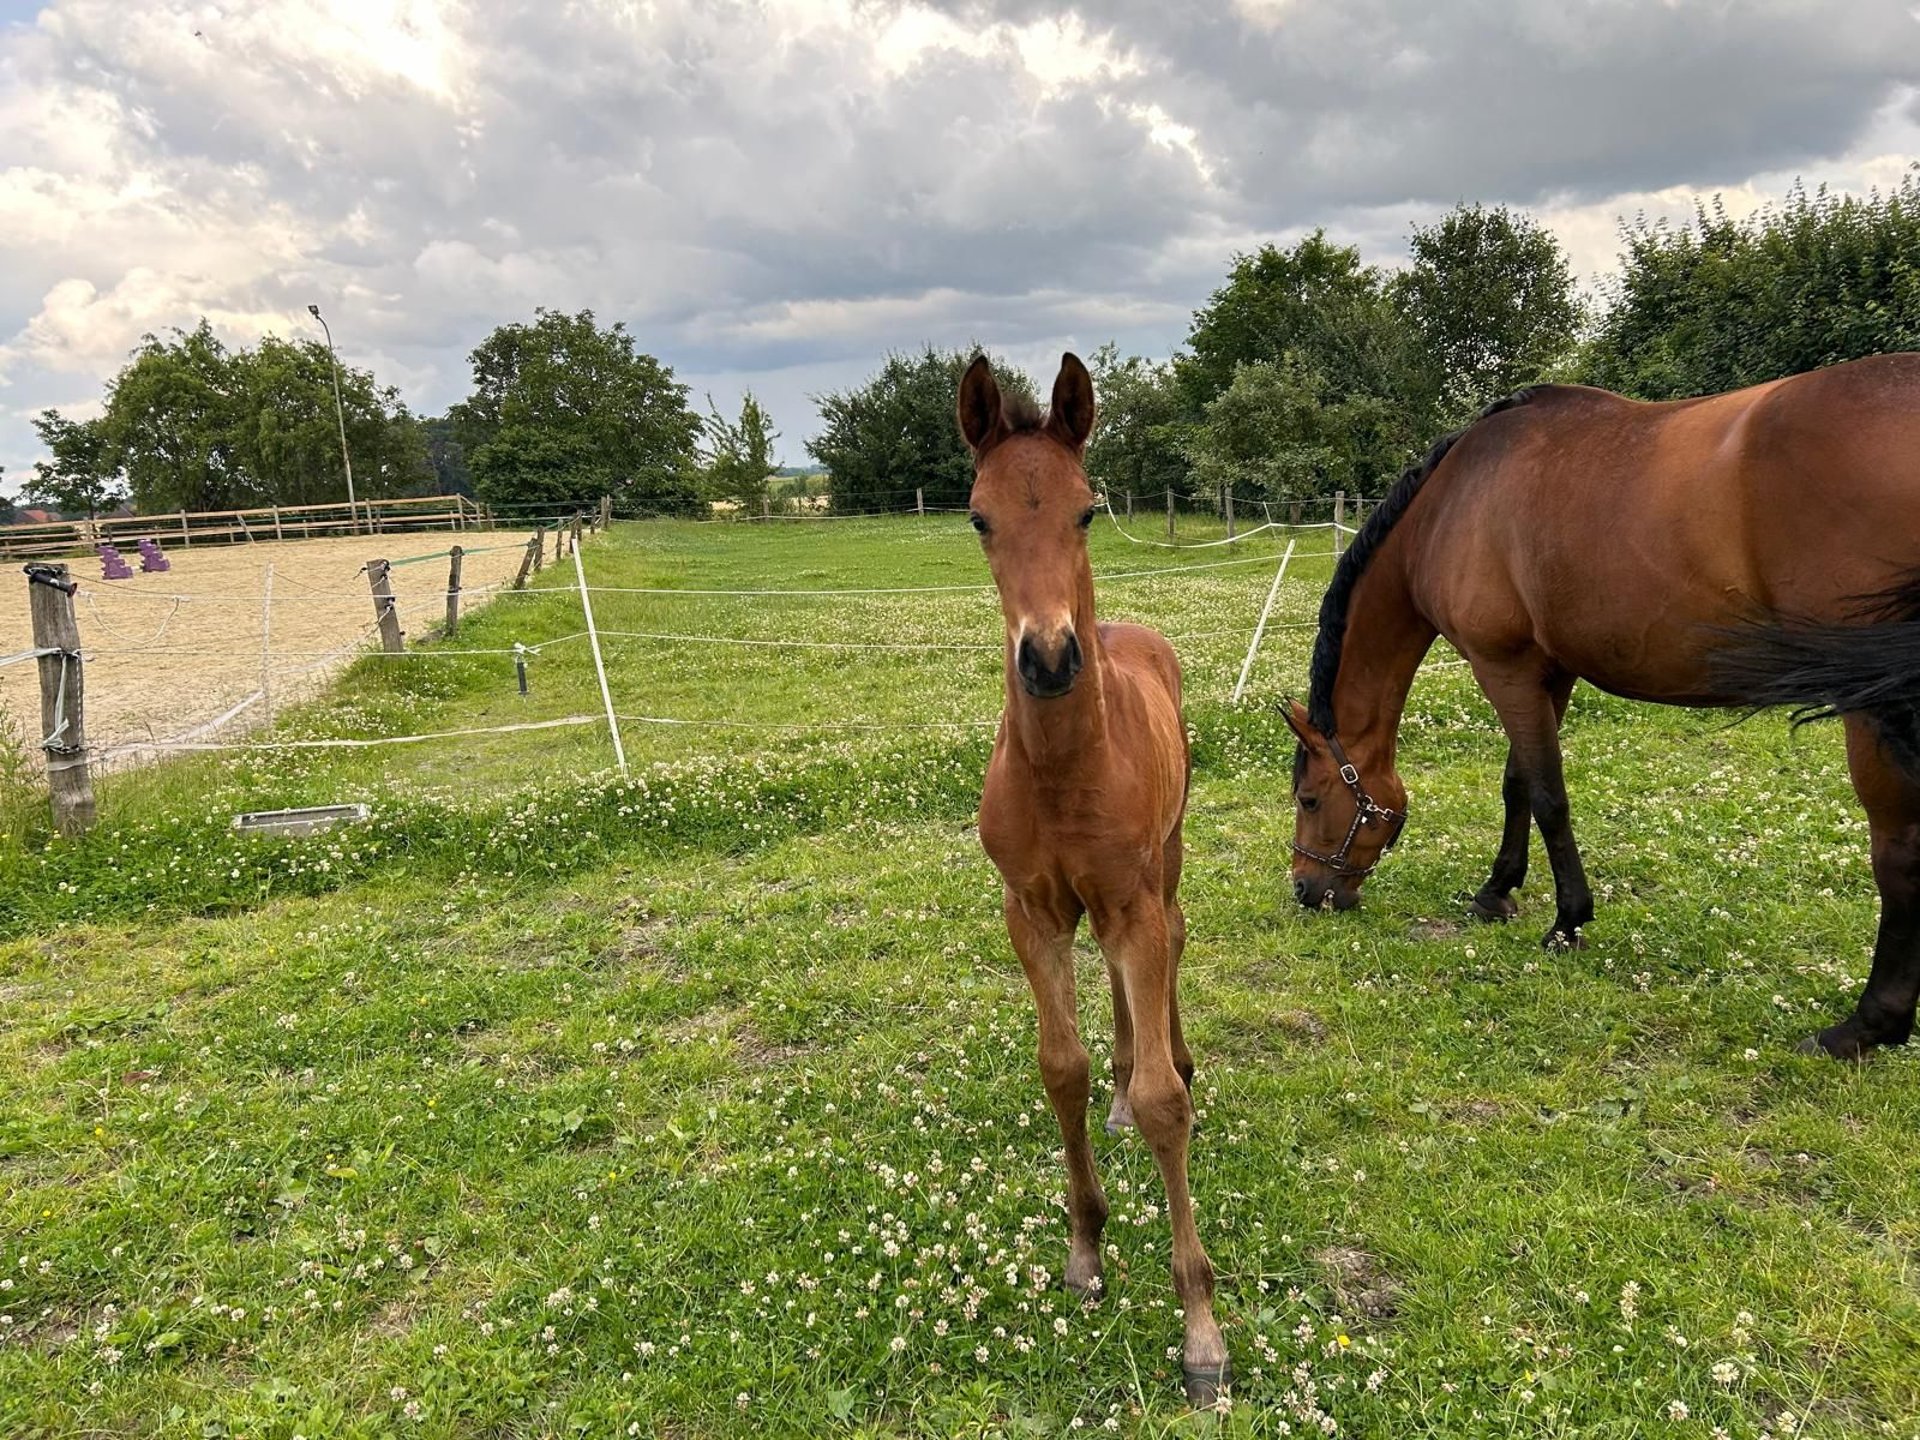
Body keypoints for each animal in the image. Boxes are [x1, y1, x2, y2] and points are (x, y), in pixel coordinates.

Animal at [960, 353, 1228, 1413]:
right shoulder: (1032, 914)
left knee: (1178, 942)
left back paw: (1176, 1056)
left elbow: (1165, 1106)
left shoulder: (1132, 903)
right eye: (979, 518)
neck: (1066, 767)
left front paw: (1202, 1333)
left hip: (1166, 863)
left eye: (1084, 510)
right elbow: (1061, 1068)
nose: (1047, 658)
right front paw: (1083, 1250)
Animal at [1282, 353, 1920, 1059]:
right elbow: (1517, 784)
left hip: (1877, 708)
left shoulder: (1503, 668)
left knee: (1900, 849)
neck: (1451, 506)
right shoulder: (1548, 672)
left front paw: (1567, 922)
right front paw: (1496, 893)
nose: (1306, 889)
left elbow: (1547, 796)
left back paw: (1868, 1025)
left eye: (1309, 800)